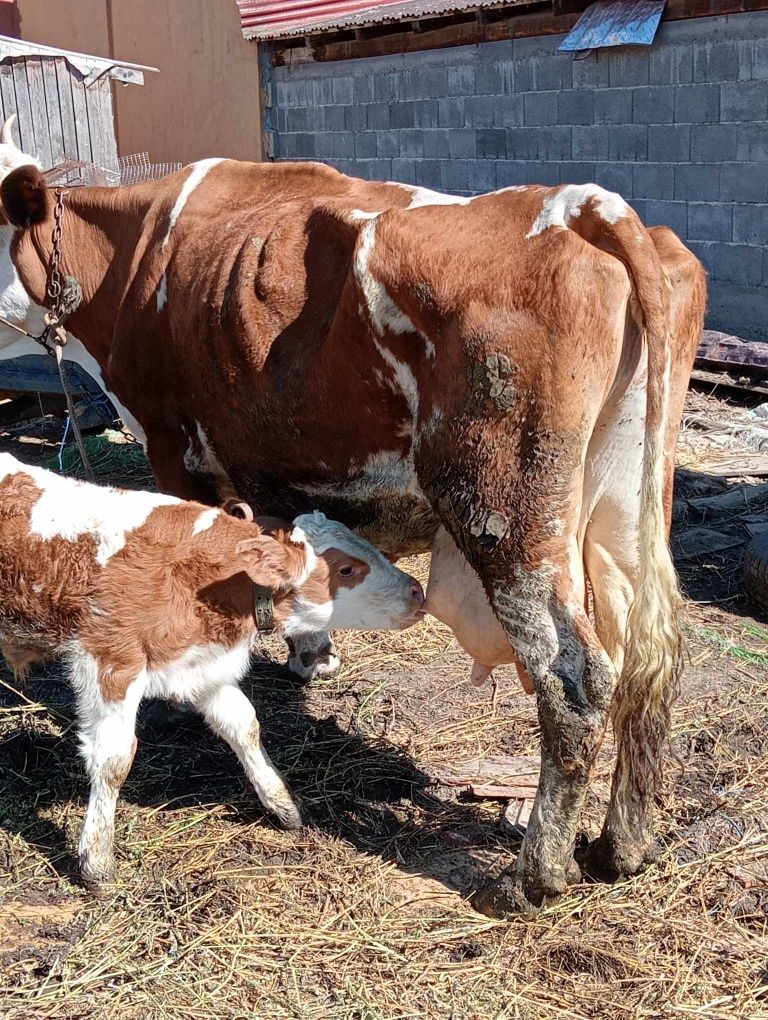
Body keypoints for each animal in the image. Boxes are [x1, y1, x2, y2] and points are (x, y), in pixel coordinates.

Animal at [0, 454, 426, 885]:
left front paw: (282, 804)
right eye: (346, 570)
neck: (196, 577)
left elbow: (244, 725)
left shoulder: (201, 665)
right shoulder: (109, 660)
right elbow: (113, 759)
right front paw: (97, 860)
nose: (418, 591)